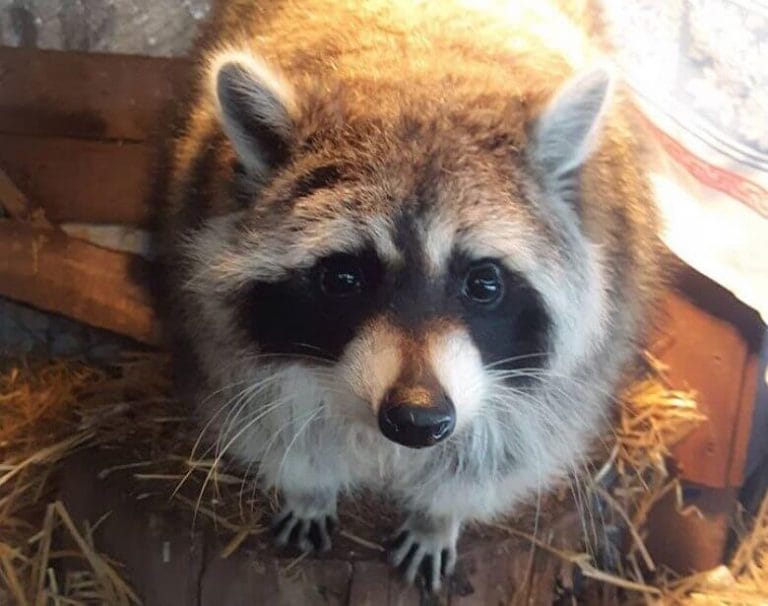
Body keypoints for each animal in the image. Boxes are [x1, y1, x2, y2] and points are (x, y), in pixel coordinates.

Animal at [157, 0, 661, 590]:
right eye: (343, 279)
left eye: (484, 282)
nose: (417, 419)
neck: (417, 82)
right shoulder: (221, 337)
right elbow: (280, 427)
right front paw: (310, 488)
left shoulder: (571, 376)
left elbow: (495, 457)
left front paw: (438, 517)